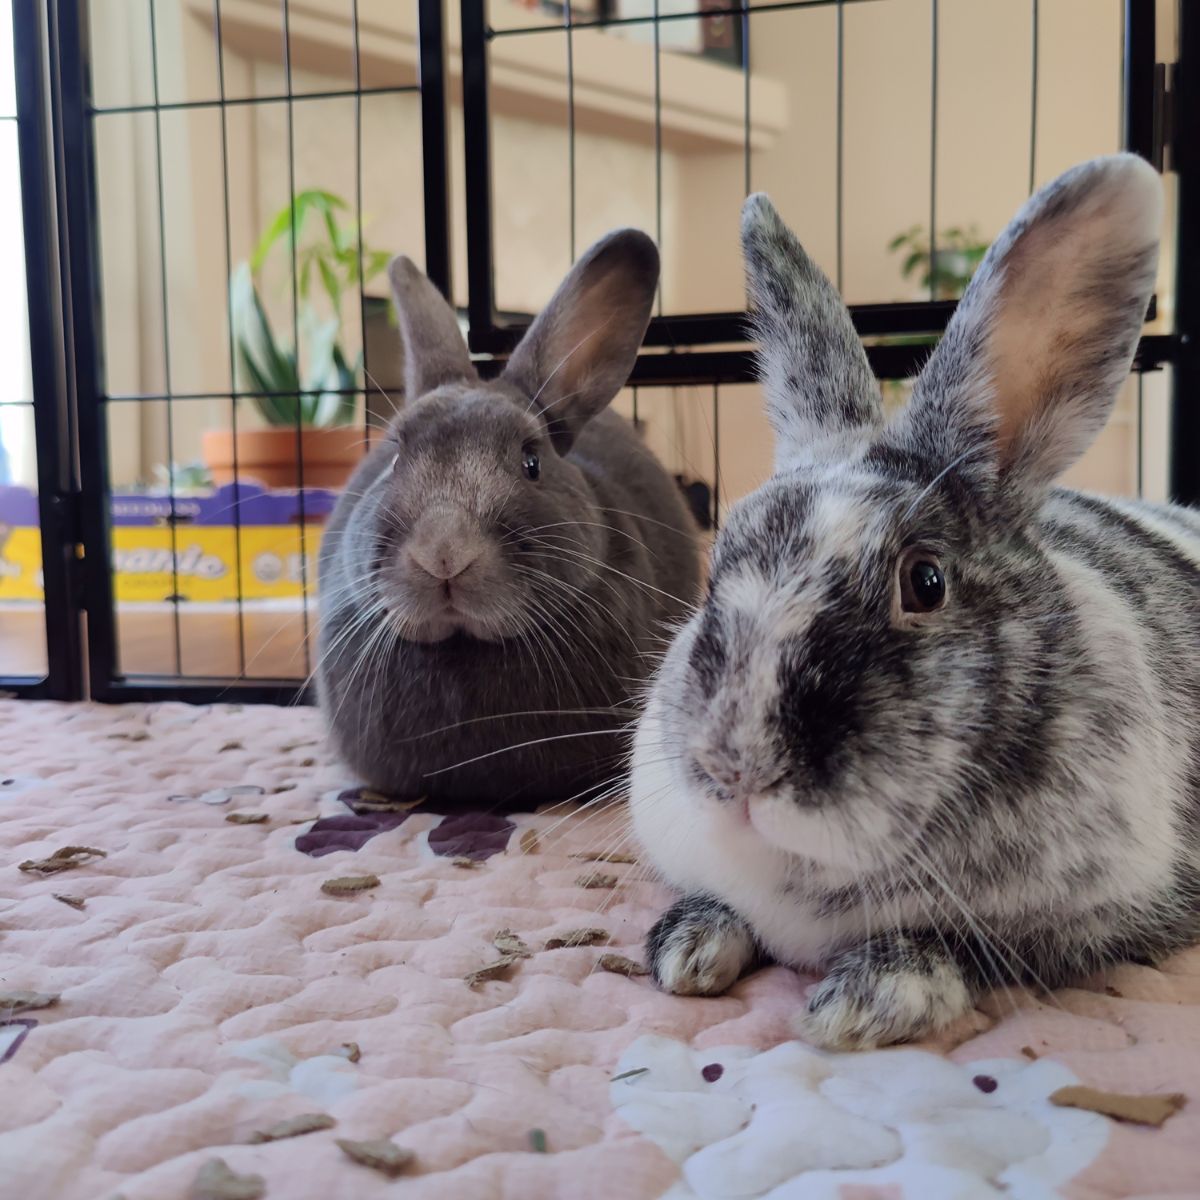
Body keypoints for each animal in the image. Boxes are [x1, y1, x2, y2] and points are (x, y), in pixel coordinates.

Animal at [628, 152, 1200, 1051]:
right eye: (718, 560)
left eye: (925, 582)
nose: (735, 768)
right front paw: (689, 948)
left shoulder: (1115, 915)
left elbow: (972, 950)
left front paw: (861, 1004)